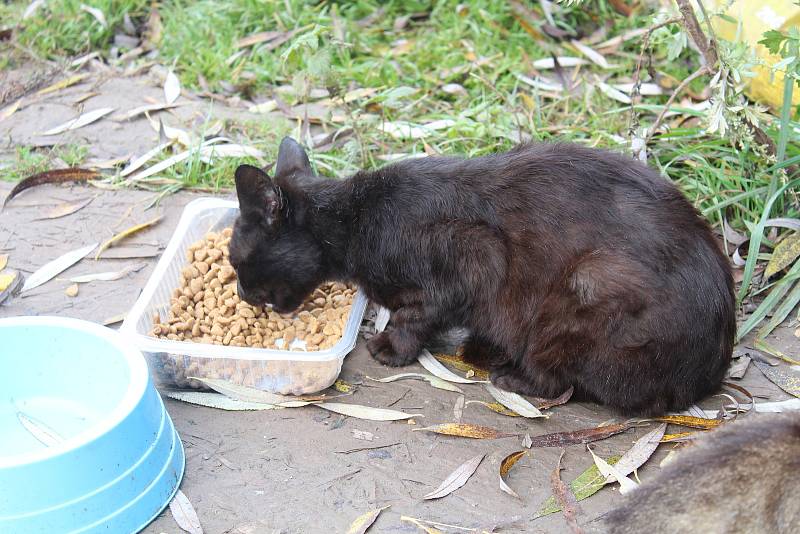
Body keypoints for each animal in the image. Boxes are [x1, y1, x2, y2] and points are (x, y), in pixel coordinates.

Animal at [228, 137, 736, 414]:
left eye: (237, 260)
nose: (242, 294)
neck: (354, 220)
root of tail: (709, 371)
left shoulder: (474, 254)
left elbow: (416, 314)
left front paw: (391, 348)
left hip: (587, 285)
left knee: (561, 381)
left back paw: (510, 375)